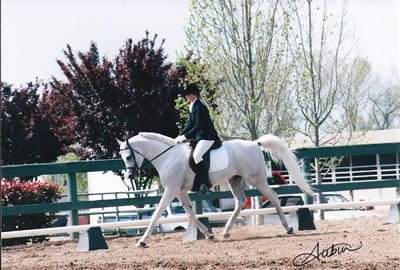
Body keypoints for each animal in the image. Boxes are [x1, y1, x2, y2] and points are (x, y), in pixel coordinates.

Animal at [117, 132, 314, 248]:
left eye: (128, 156)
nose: (131, 175)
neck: (168, 156)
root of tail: (254, 143)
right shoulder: (180, 192)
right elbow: (190, 215)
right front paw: (208, 234)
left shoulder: (171, 190)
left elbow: (157, 213)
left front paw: (142, 241)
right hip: (235, 180)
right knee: (240, 202)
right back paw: (226, 232)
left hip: (256, 179)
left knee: (273, 196)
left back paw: (288, 227)